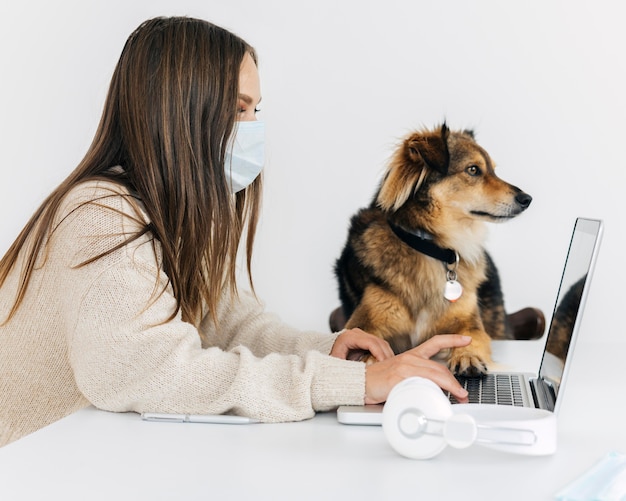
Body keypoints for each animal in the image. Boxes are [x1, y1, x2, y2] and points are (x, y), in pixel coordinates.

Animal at [334, 124, 528, 376]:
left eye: (493, 171)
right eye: (473, 170)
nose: (527, 199)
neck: (432, 247)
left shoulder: (470, 322)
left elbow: (472, 337)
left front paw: (467, 356)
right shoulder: (363, 322)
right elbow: (362, 341)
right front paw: (371, 361)